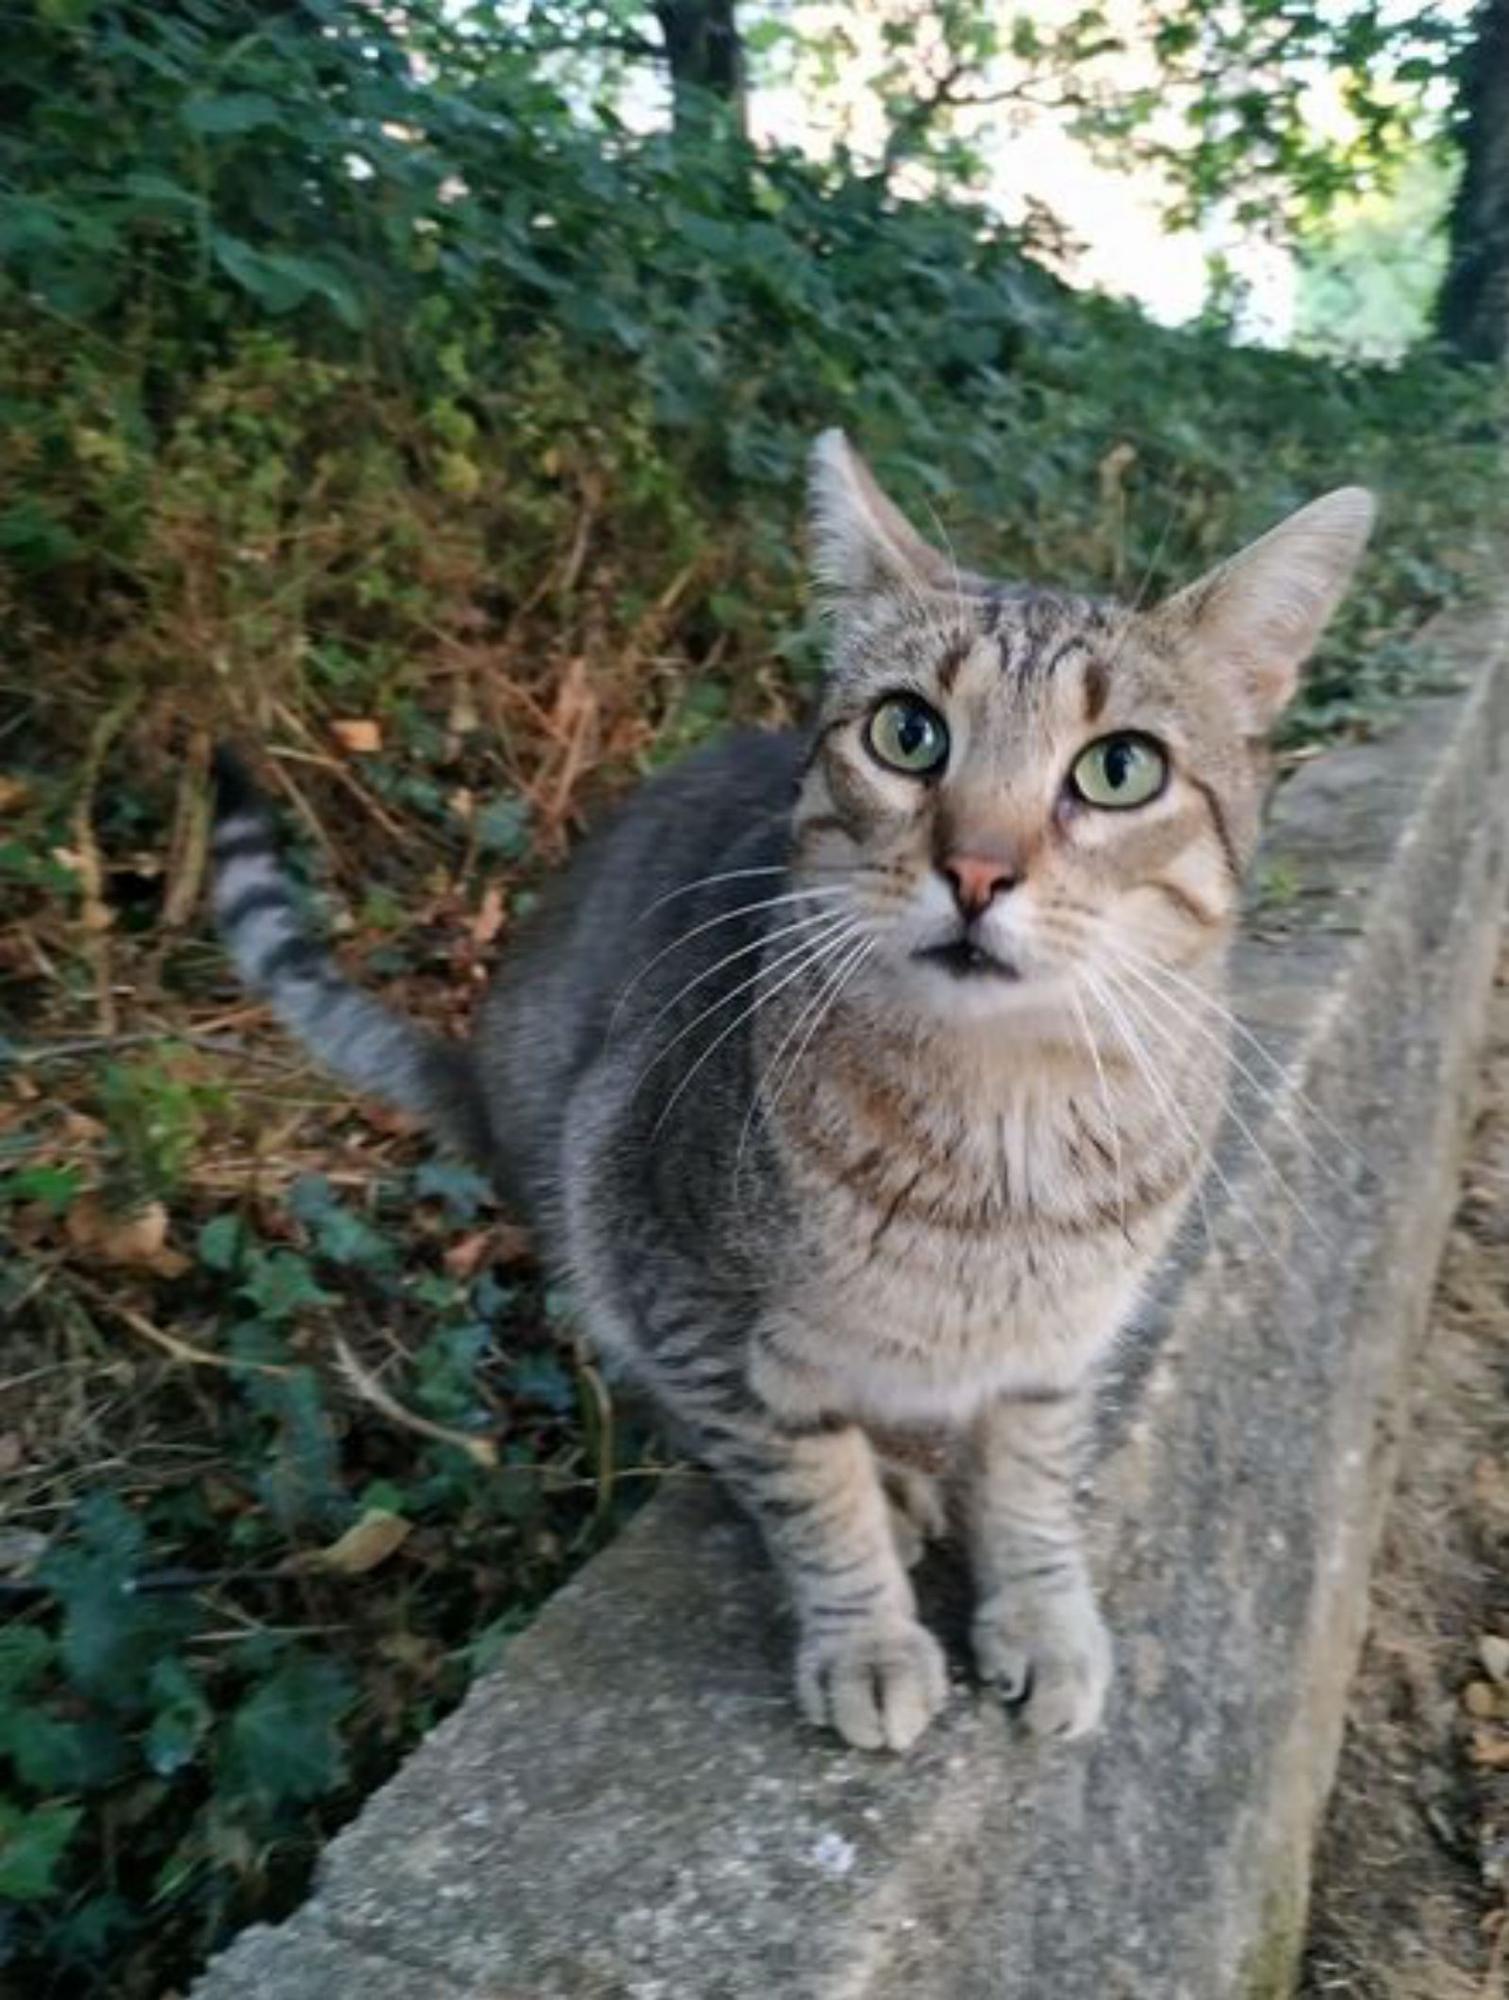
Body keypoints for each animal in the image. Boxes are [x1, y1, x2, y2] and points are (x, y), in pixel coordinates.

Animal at [212, 438, 1376, 1752]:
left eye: (1119, 767)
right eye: (910, 733)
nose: (977, 869)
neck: (1004, 1126)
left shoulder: (1058, 1348)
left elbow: (1033, 1477)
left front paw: (1039, 1607)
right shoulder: (688, 1294)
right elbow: (809, 1490)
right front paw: (866, 1634)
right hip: (594, 1220)